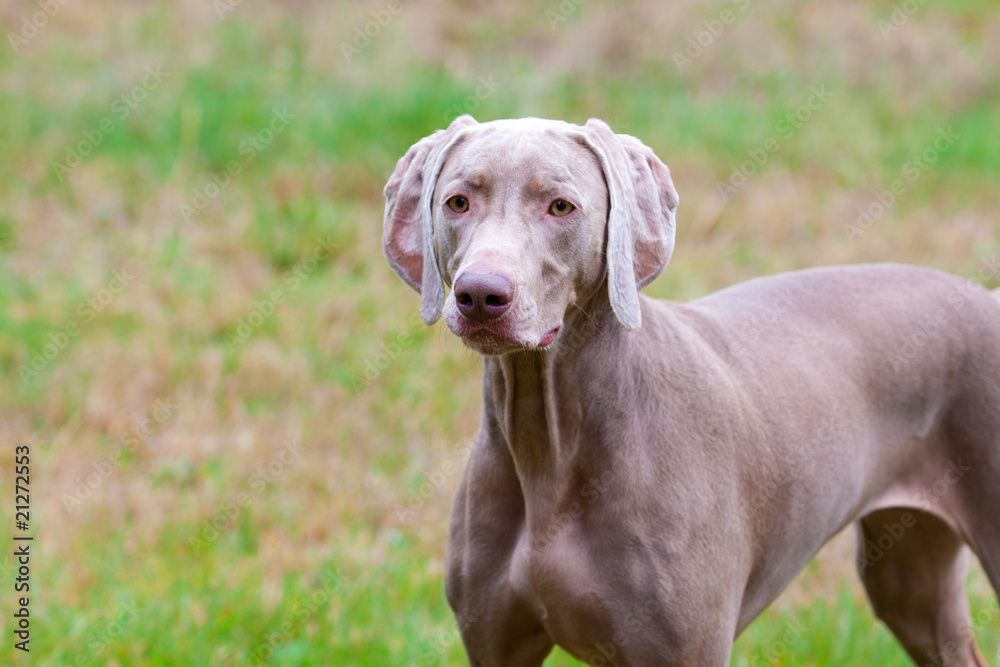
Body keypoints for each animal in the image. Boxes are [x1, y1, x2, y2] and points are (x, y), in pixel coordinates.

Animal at [378, 117, 996, 664]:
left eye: (560, 206)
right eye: (458, 202)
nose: (481, 296)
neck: (549, 443)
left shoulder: (684, 650)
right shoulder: (496, 644)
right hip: (907, 573)